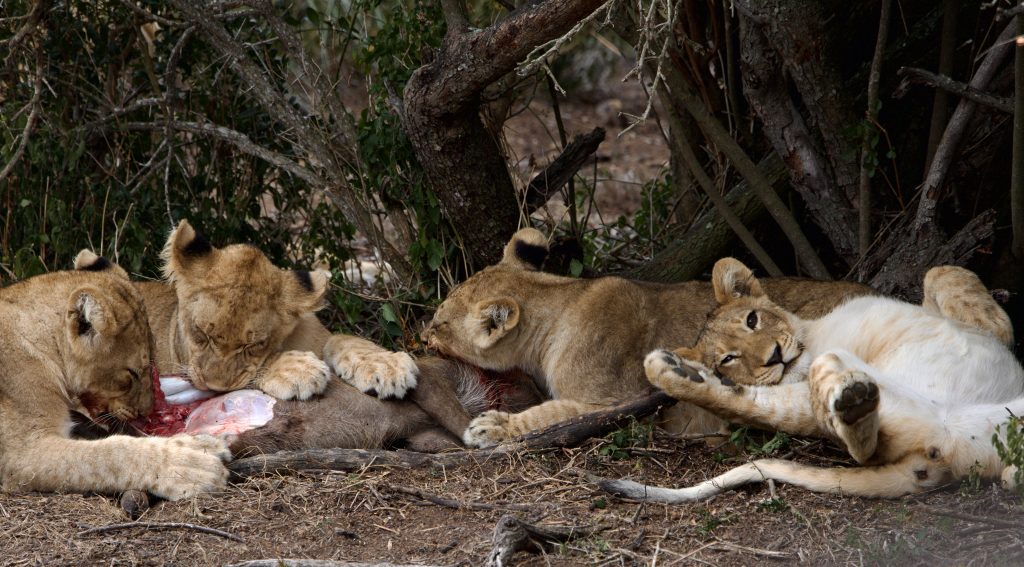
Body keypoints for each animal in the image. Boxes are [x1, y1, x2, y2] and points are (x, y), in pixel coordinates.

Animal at [600, 257, 1020, 501]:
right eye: (728, 358)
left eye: (751, 319)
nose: (773, 356)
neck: (813, 335)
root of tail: (940, 455)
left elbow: (941, 273)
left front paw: (1000, 321)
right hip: (909, 413)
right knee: (863, 445)